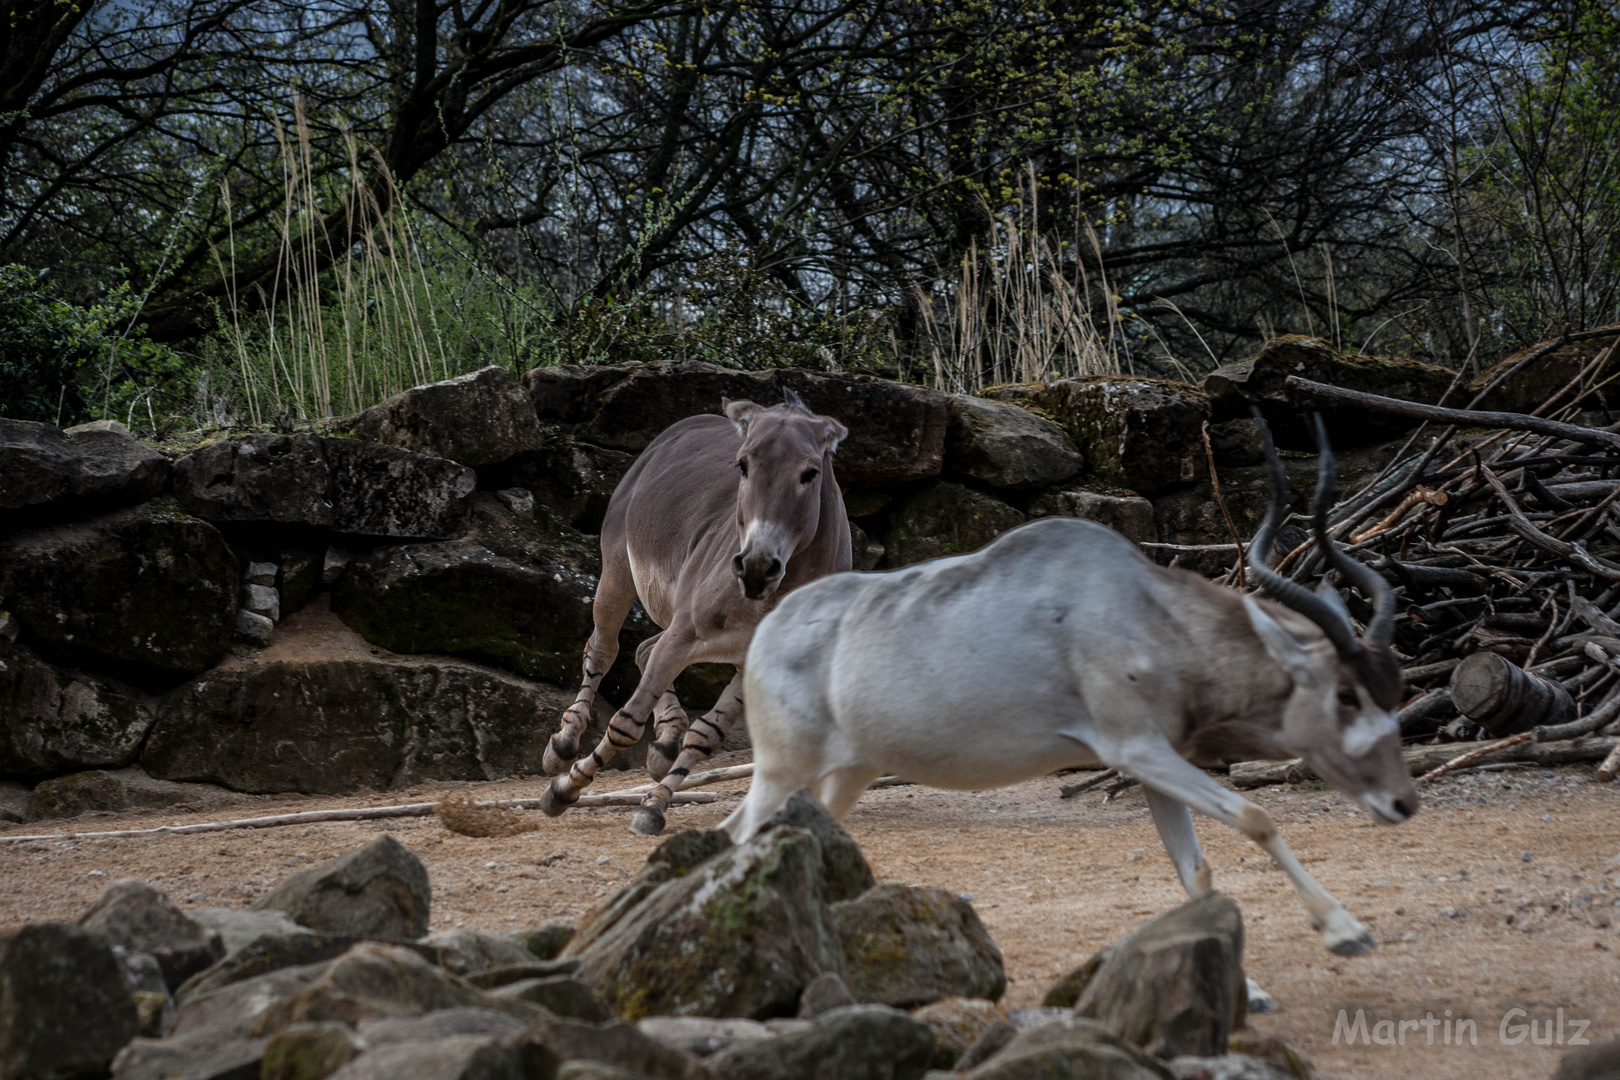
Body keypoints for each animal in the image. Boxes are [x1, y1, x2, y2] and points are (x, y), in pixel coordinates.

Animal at [729, 414, 1412, 952]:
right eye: (1345, 693)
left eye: (1396, 689)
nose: (1403, 802)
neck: (1145, 611)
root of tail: (771, 628)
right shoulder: (1134, 746)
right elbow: (1256, 815)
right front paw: (1346, 930)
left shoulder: (1153, 763)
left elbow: (1196, 871)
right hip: (783, 769)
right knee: (739, 837)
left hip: (846, 774)